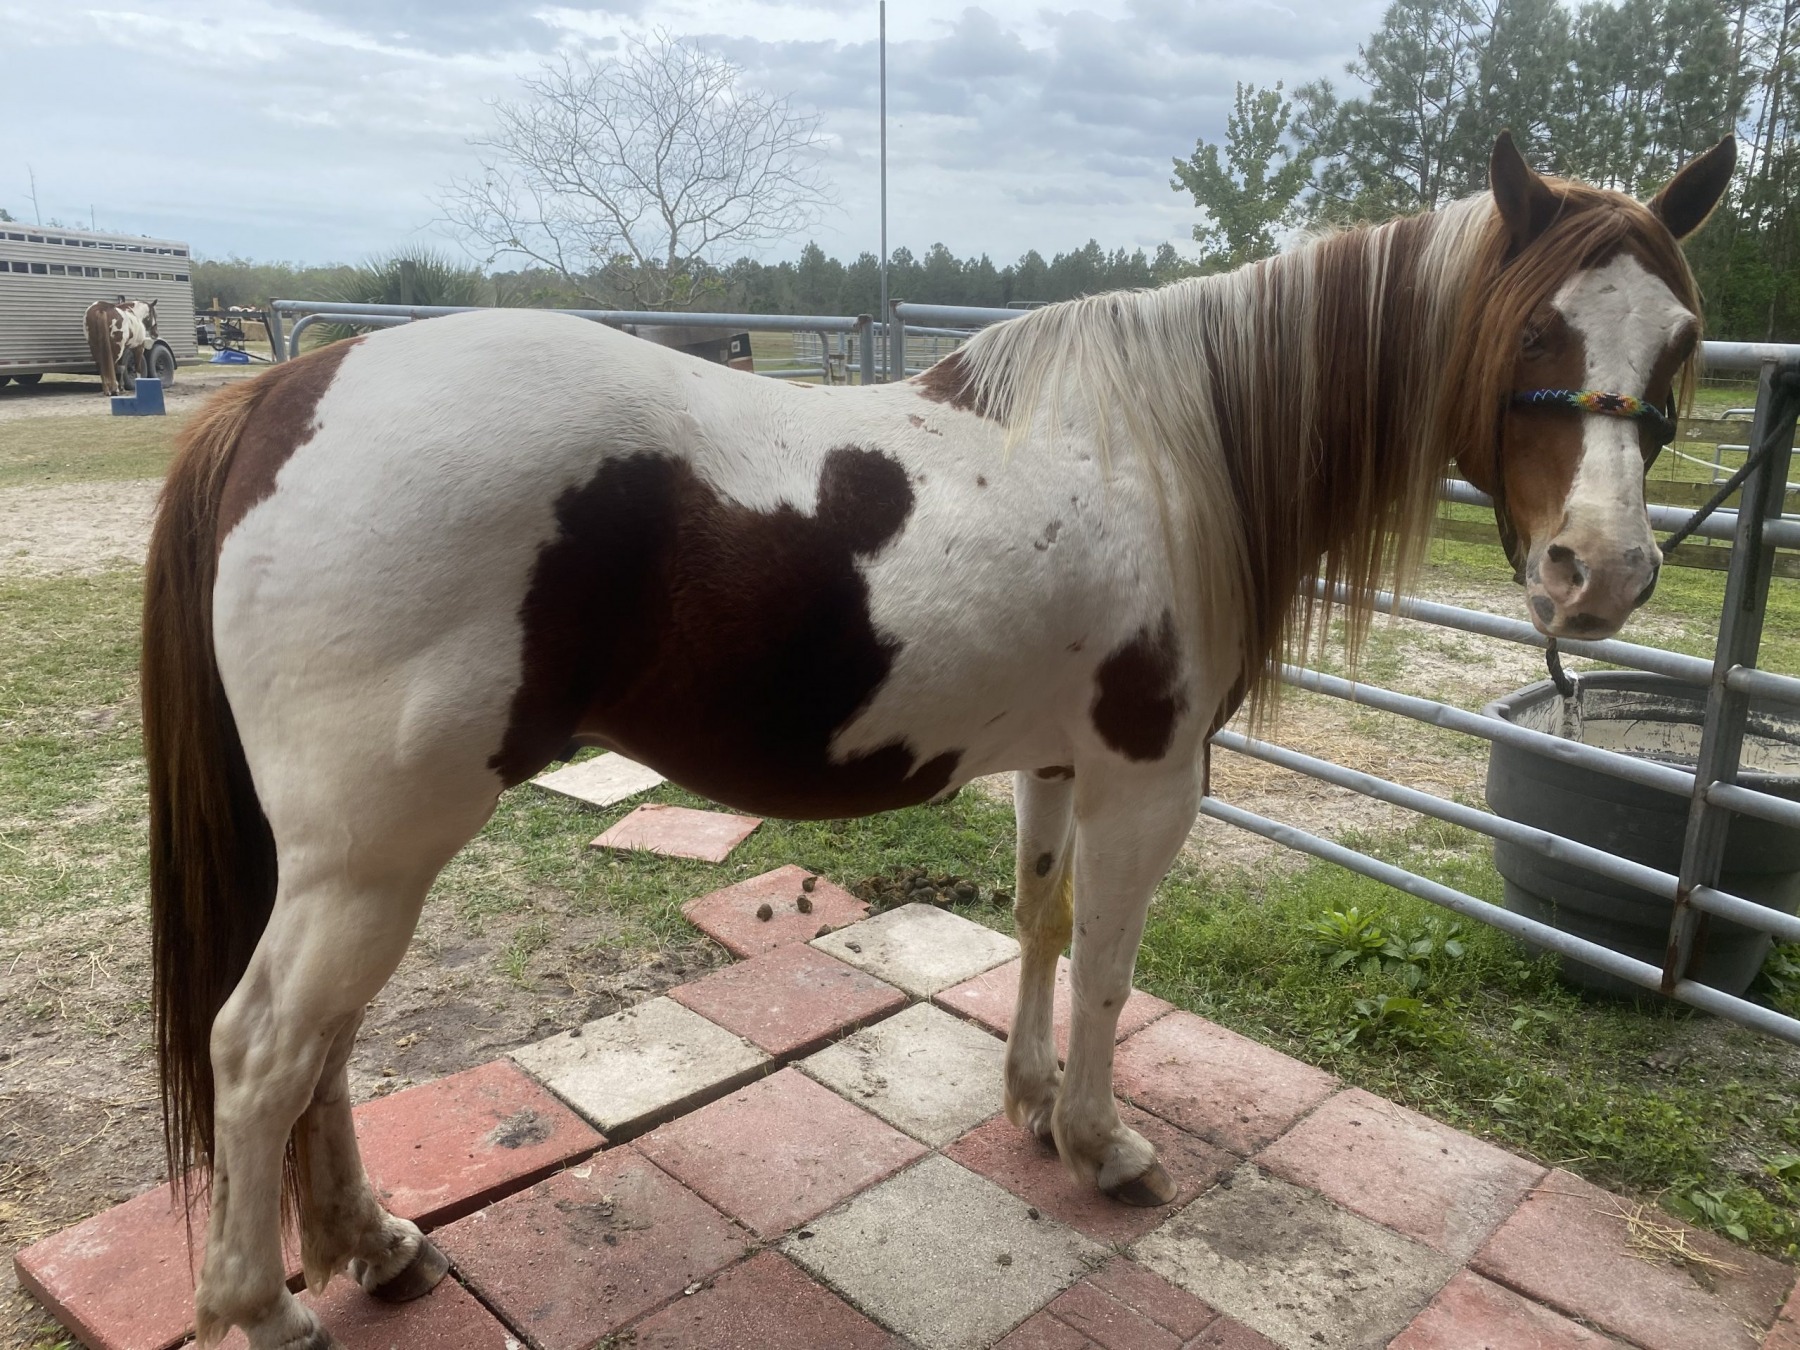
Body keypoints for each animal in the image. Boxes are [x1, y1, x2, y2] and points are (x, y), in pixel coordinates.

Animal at [139, 132, 1733, 1350]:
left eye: (1684, 342)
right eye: (1533, 330)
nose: (1603, 574)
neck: (1173, 449)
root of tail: (281, 395)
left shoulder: (1059, 763)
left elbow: (1040, 924)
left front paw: (1028, 1109)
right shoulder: (1149, 781)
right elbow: (1110, 968)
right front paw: (1104, 1144)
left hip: (362, 858)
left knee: (324, 1050)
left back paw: (376, 1245)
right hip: (375, 853)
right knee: (265, 1047)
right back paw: (263, 1306)